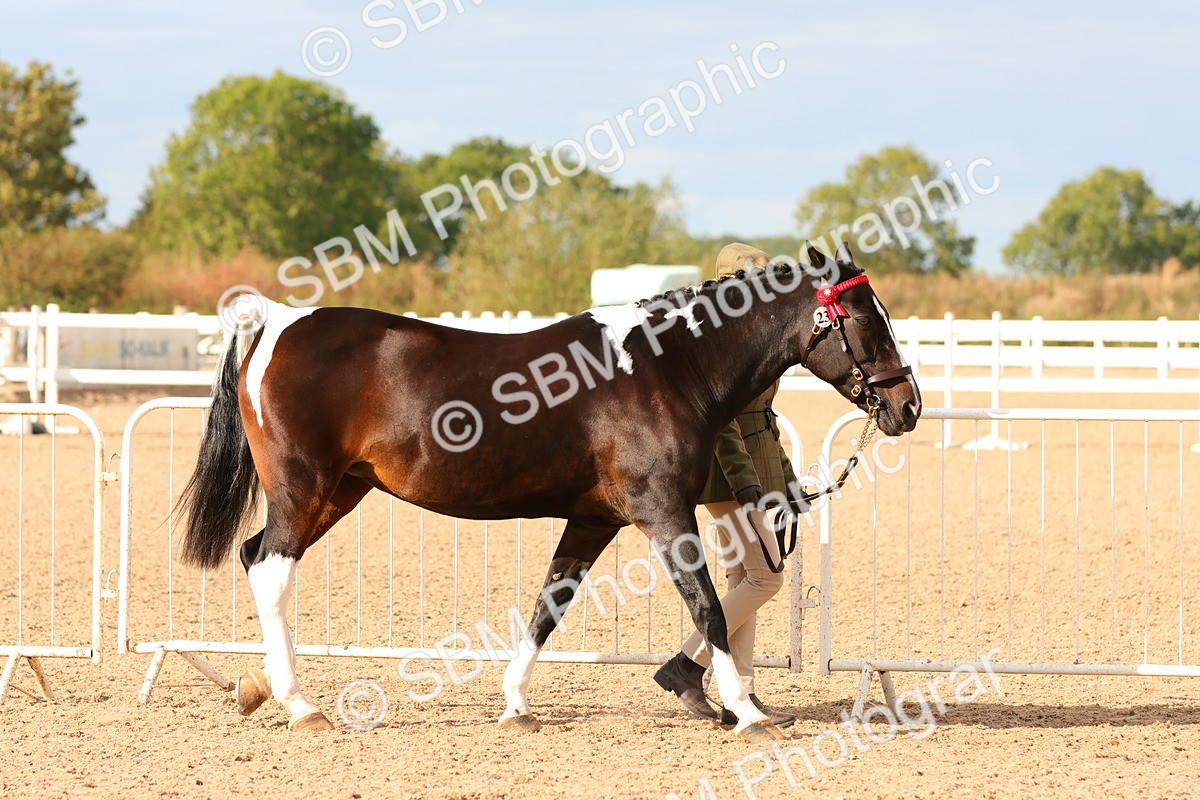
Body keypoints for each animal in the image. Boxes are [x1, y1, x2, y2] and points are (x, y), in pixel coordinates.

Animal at [178, 241, 920, 742]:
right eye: (868, 320)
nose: (907, 406)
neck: (666, 368)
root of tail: (276, 324)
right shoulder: (664, 514)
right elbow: (709, 608)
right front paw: (744, 713)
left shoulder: (594, 521)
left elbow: (548, 606)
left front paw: (515, 703)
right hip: (304, 488)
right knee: (272, 571)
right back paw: (300, 705)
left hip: (339, 492)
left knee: (254, 557)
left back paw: (258, 688)